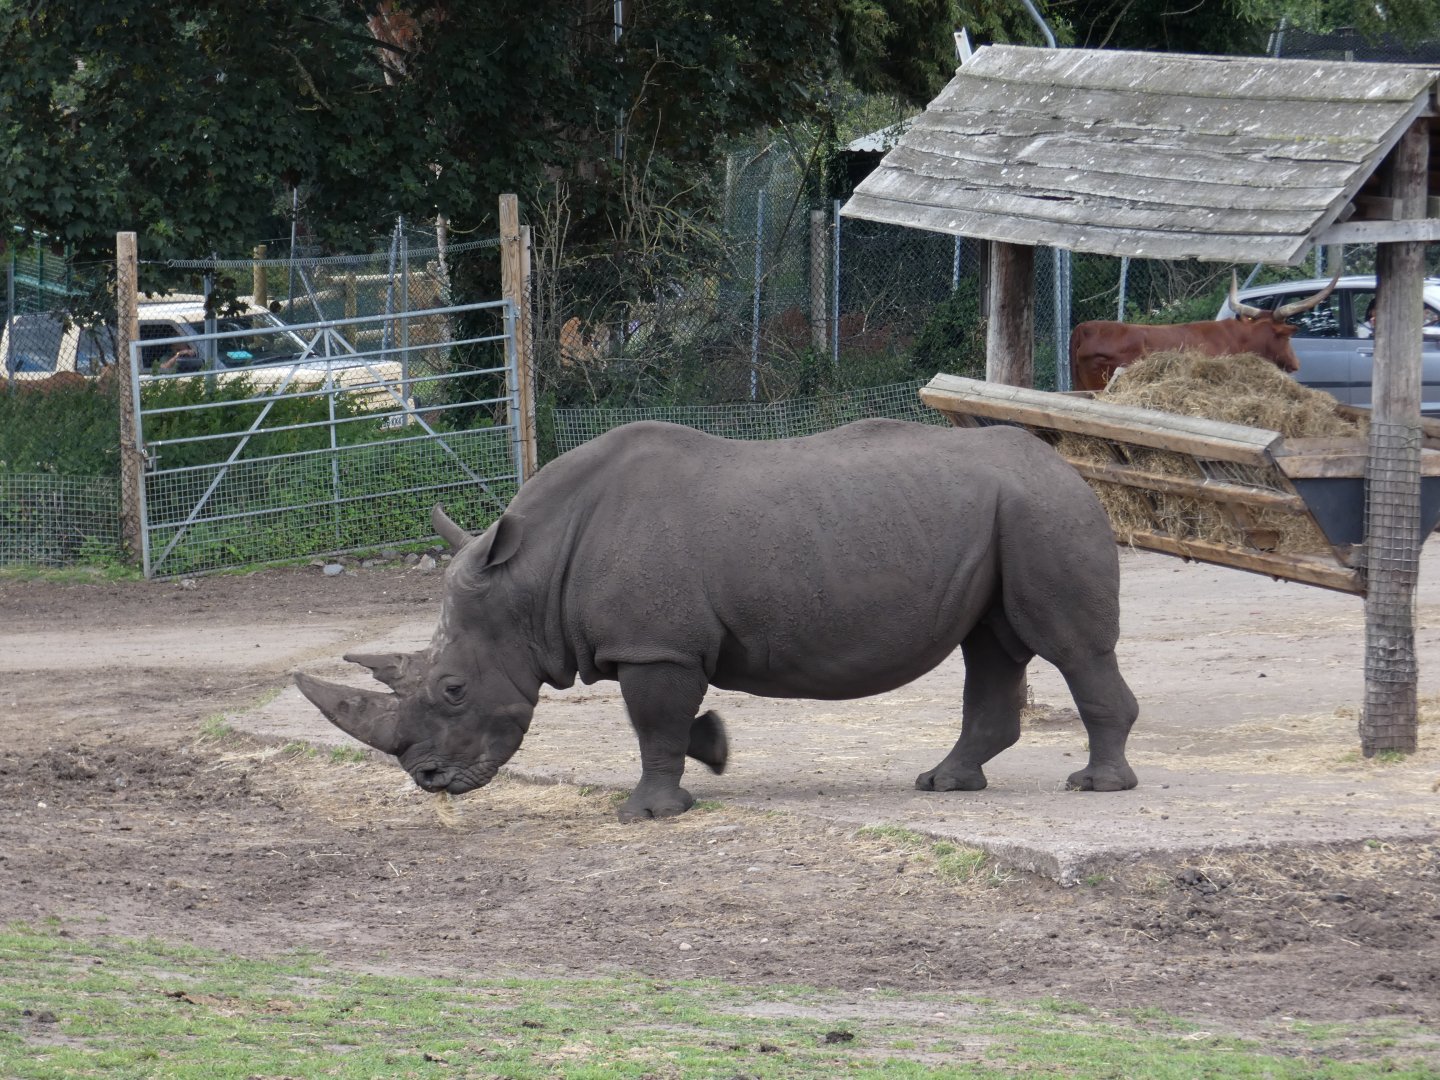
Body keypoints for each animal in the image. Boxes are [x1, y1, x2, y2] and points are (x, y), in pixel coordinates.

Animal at [296, 418, 1139, 821]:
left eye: (452, 690)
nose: (429, 781)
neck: (528, 580)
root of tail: (1069, 465)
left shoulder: (655, 647)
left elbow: (652, 725)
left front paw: (647, 813)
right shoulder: (666, 645)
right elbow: (677, 723)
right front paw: (718, 750)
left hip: (1043, 514)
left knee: (1066, 646)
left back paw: (1095, 787)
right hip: (1008, 516)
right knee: (989, 647)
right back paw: (944, 783)